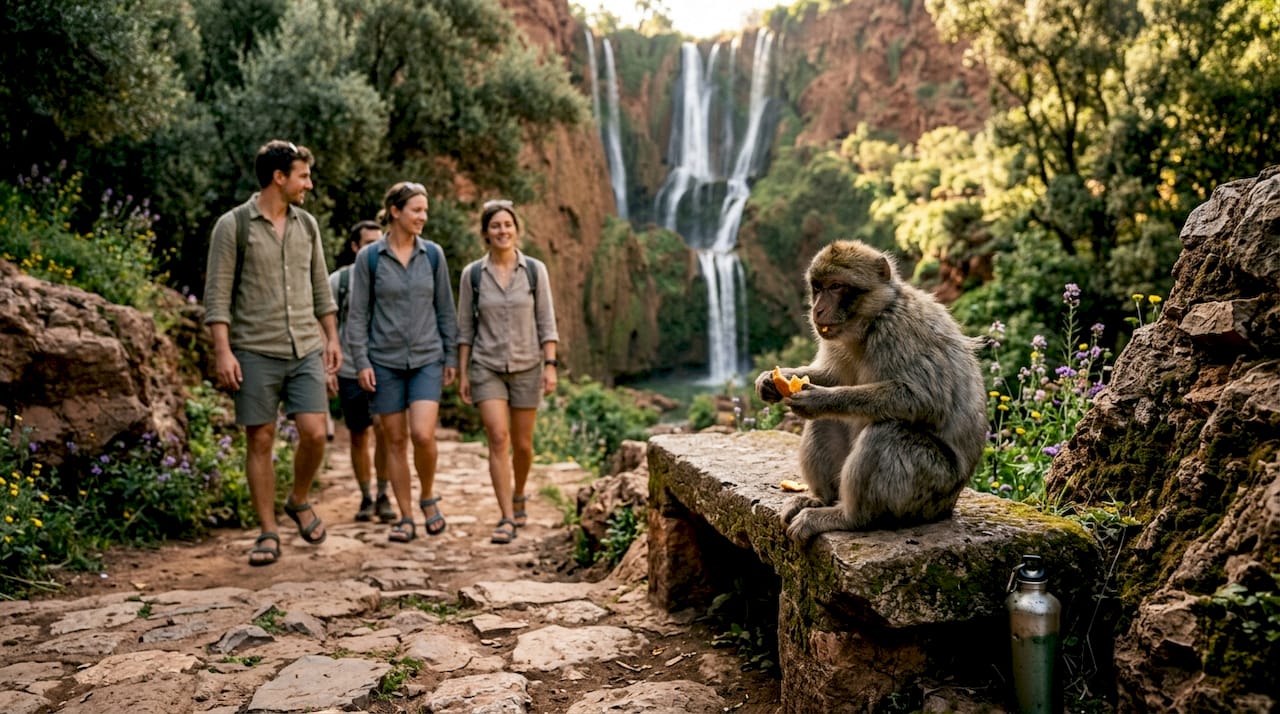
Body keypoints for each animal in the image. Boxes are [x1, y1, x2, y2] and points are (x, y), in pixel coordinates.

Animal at [755, 240, 987, 542]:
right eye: (818, 287)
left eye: (836, 286)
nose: (817, 310)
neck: (869, 323)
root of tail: (949, 504)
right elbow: (831, 375)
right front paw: (771, 381)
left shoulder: (899, 330)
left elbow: (925, 399)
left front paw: (820, 398)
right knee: (826, 423)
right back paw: (820, 499)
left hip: (931, 489)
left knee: (888, 433)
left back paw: (847, 517)